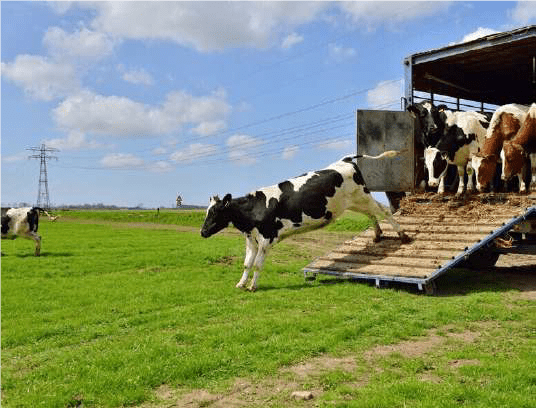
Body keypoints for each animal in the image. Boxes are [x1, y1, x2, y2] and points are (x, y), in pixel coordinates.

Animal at [201, 152, 410, 290]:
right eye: (207, 212)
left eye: (216, 212)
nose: (202, 232)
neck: (253, 208)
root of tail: (344, 160)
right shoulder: (251, 239)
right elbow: (247, 264)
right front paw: (241, 283)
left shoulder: (266, 238)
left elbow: (258, 265)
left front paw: (252, 286)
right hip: (353, 203)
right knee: (372, 214)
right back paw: (377, 234)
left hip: (362, 196)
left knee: (383, 211)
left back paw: (403, 235)